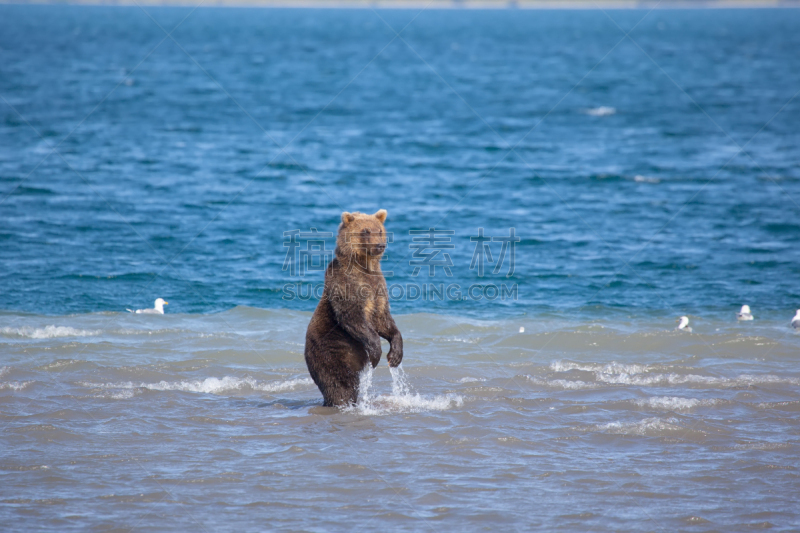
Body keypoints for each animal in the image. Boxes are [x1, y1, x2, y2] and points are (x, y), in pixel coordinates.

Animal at [306, 209, 406, 408]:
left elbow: (383, 319)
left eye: (380, 231)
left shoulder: (378, 287)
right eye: (365, 231)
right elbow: (352, 317)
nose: (380, 245)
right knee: (340, 382)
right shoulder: (346, 284)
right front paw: (376, 353)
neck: (364, 266)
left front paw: (395, 355)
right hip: (333, 350)